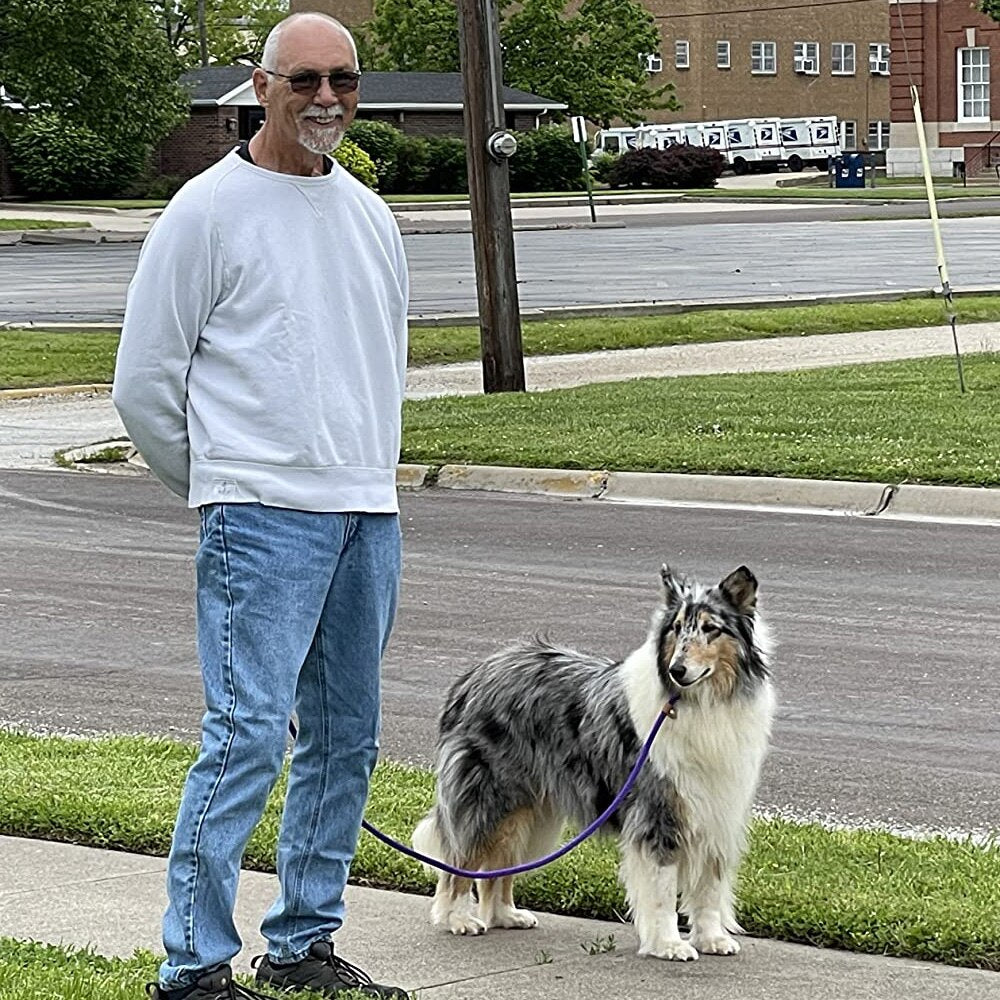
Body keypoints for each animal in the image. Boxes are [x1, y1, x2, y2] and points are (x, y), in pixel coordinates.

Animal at [410, 564, 776, 960]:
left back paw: (506, 915)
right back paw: (457, 919)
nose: (677, 670)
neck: (700, 702)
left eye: (711, 628)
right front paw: (668, 944)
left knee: (499, 864)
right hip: (489, 800)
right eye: (677, 628)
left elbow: (709, 888)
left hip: (529, 809)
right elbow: (662, 893)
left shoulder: (717, 810)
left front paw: (711, 939)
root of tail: (473, 675)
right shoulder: (658, 814)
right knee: (460, 863)